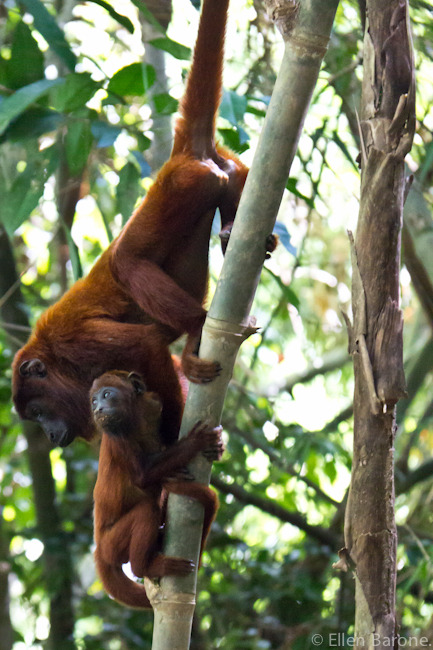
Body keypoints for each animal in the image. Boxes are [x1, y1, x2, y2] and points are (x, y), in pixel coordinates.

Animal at [89, 370, 221, 608]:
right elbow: (142, 475)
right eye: (93, 401)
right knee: (146, 510)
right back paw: (145, 567)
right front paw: (195, 442)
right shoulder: (114, 435)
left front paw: (218, 448)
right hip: (111, 545)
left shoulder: (154, 404)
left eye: (106, 395)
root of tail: (98, 550)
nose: (97, 409)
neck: (138, 418)